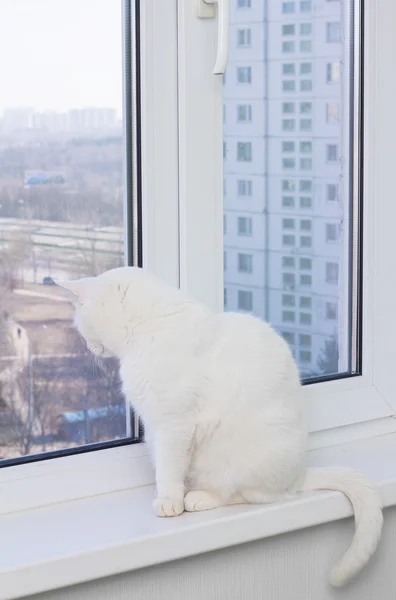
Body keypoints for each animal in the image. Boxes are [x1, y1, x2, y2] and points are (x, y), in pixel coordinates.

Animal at [58, 268, 384, 584]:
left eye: (80, 325)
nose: (89, 347)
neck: (149, 328)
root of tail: (299, 474)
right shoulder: (155, 427)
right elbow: (164, 467)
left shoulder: (173, 426)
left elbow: (169, 469)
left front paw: (169, 501)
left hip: (237, 462)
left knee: (247, 494)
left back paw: (200, 497)